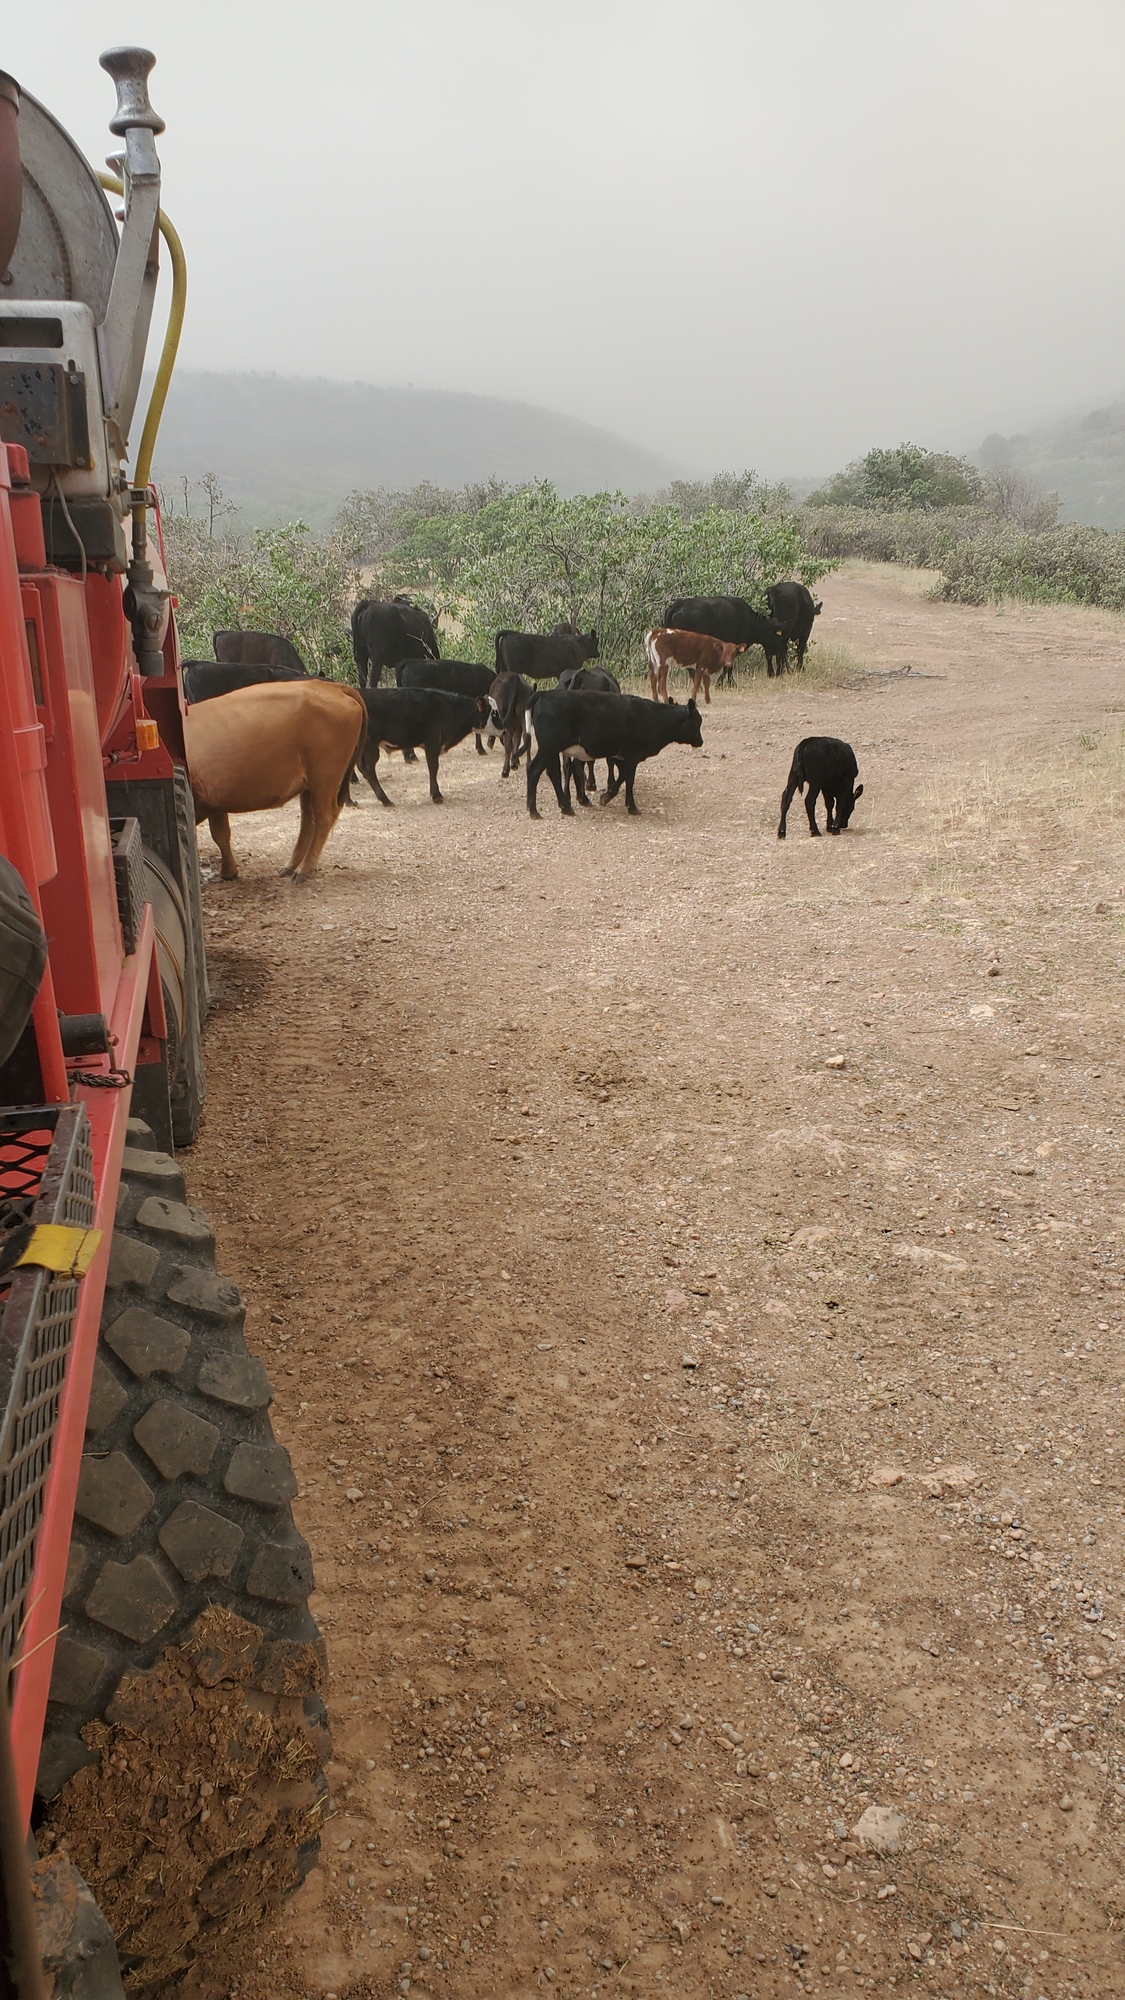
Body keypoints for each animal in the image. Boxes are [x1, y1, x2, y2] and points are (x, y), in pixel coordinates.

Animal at [186, 680, 366, 884]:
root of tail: (331, 686)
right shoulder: (215, 800)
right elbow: (221, 834)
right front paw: (229, 871)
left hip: (324, 779)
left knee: (323, 819)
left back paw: (304, 870)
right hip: (308, 785)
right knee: (308, 821)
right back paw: (291, 866)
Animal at [354, 688, 486, 804]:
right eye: (490, 713)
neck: (450, 708)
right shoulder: (432, 743)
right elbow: (433, 767)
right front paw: (436, 795)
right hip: (370, 746)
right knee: (368, 769)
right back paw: (385, 800)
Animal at [520, 688, 696, 812]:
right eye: (698, 721)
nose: (699, 741)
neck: (653, 716)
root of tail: (544, 694)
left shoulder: (620, 756)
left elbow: (622, 776)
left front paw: (609, 796)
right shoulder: (632, 755)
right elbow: (628, 778)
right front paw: (629, 805)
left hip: (551, 750)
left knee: (553, 773)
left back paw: (566, 807)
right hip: (548, 748)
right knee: (535, 770)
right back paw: (535, 810)